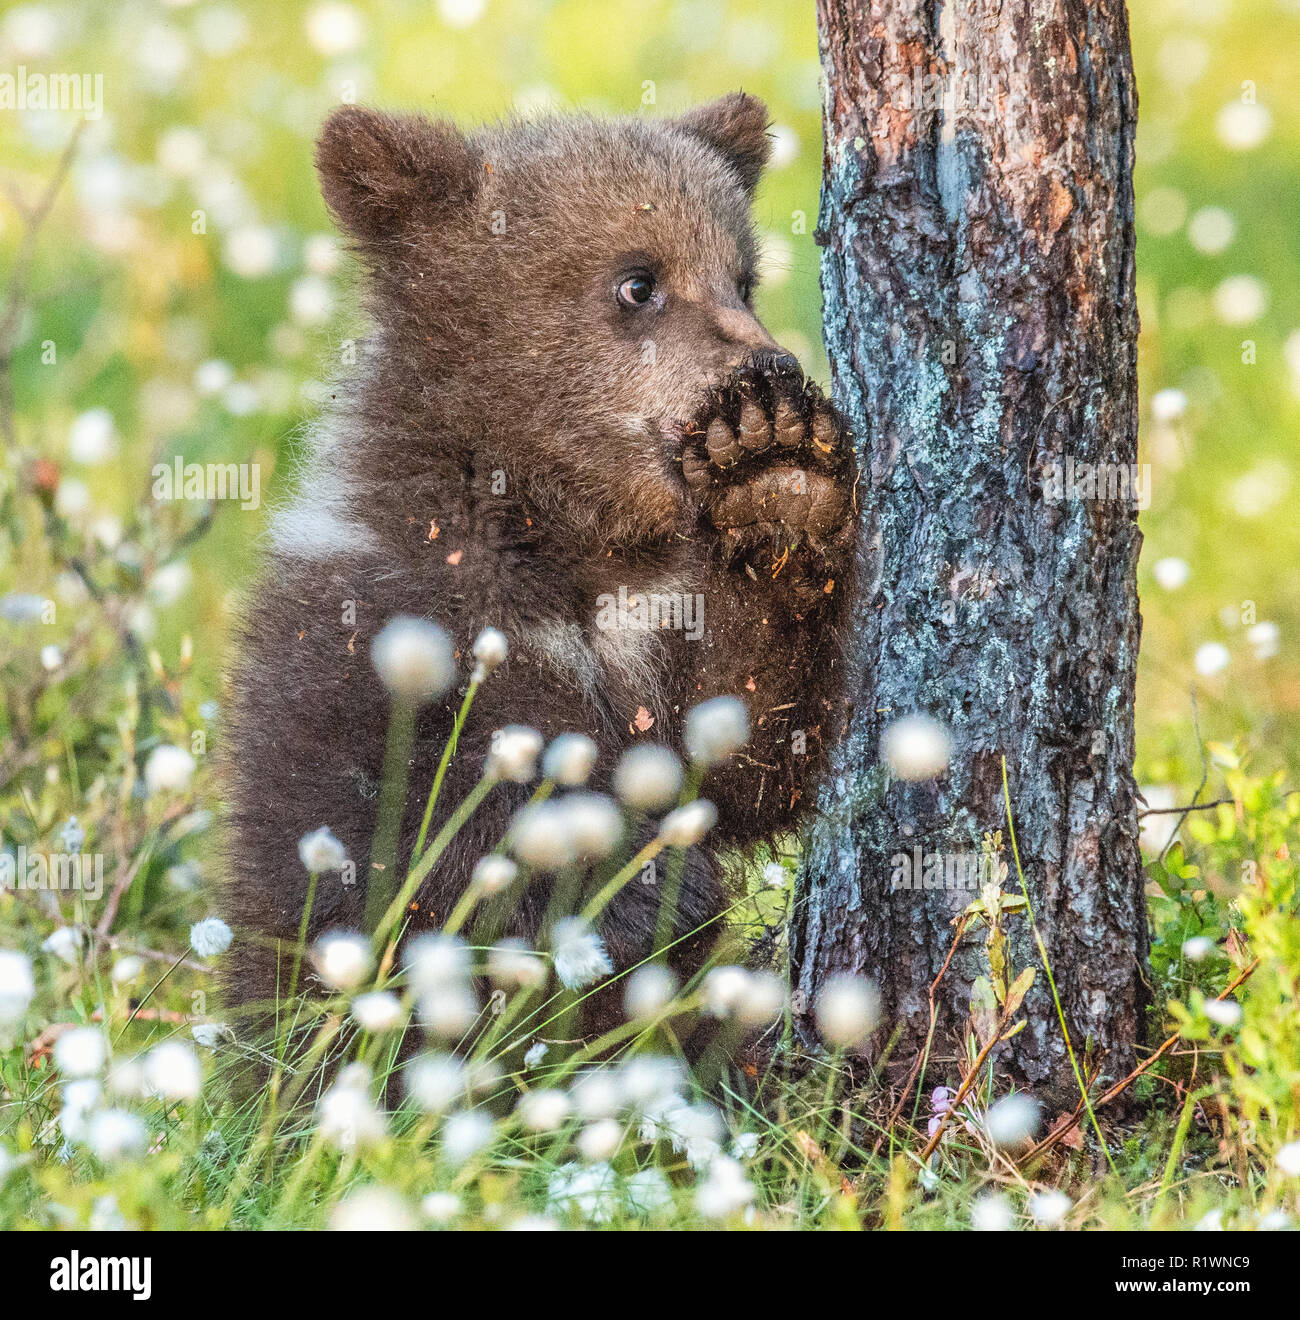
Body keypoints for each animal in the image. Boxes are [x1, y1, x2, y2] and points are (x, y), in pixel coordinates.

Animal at [220, 94, 860, 1060]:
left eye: (742, 277)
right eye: (639, 281)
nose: (770, 366)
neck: (571, 532)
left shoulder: (658, 629)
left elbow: (743, 739)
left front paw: (776, 474)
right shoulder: (386, 628)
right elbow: (420, 825)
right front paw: (640, 894)